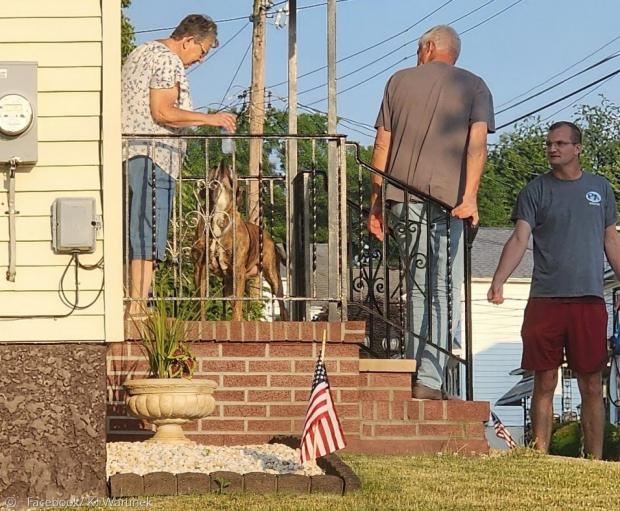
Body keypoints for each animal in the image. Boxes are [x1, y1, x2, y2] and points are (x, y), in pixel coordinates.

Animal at [190, 162, 290, 320]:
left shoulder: (238, 270)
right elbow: (201, 301)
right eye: (213, 168)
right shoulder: (200, 268)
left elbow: (238, 305)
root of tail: (269, 238)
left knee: (282, 305)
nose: (222, 162)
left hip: (273, 275)